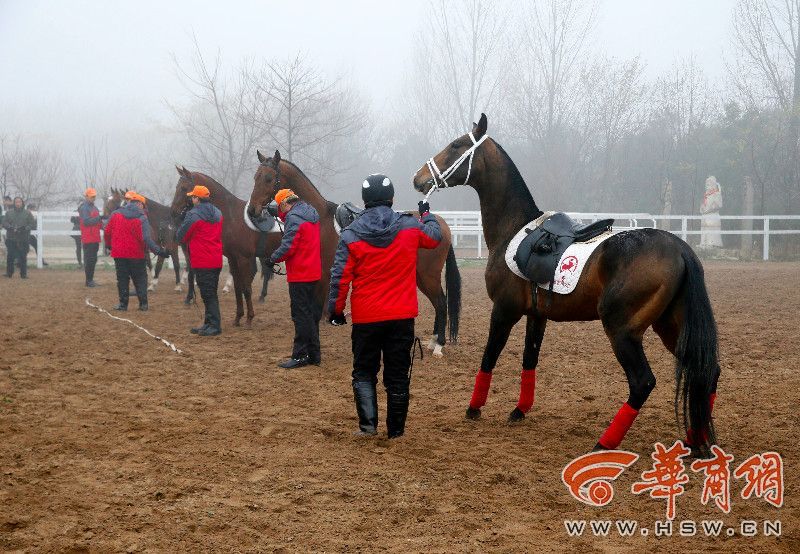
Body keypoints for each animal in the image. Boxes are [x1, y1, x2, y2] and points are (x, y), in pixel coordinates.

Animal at [171, 166, 281, 327]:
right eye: (177, 187)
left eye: (184, 188)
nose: (173, 212)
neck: (232, 217)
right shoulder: (232, 258)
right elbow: (238, 288)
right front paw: (238, 317)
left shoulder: (243, 259)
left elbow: (246, 288)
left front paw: (249, 318)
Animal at [251, 149, 462, 355]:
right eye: (255, 177)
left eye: (269, 178)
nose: (253, 210)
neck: (318, 219)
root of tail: (439, 225)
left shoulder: (323, 276)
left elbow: (315, 312)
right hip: (421, 276)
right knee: (438, 304)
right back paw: (433, 341)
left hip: (428, 275)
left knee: (441, 303)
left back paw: (439, 345)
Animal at [412, 114, 720, 455]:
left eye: (456, 145)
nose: (418, 177)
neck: (514, 228)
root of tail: (679, 248)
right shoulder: (537, 315)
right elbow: (529, 359)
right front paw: (520, 410)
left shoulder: (504, 310)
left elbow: (489, 357)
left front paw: (474, 408)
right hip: (670, 326)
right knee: (706, 371)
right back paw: (695, 438)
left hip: (623, 331)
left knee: (643, 382)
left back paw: (605, 443)